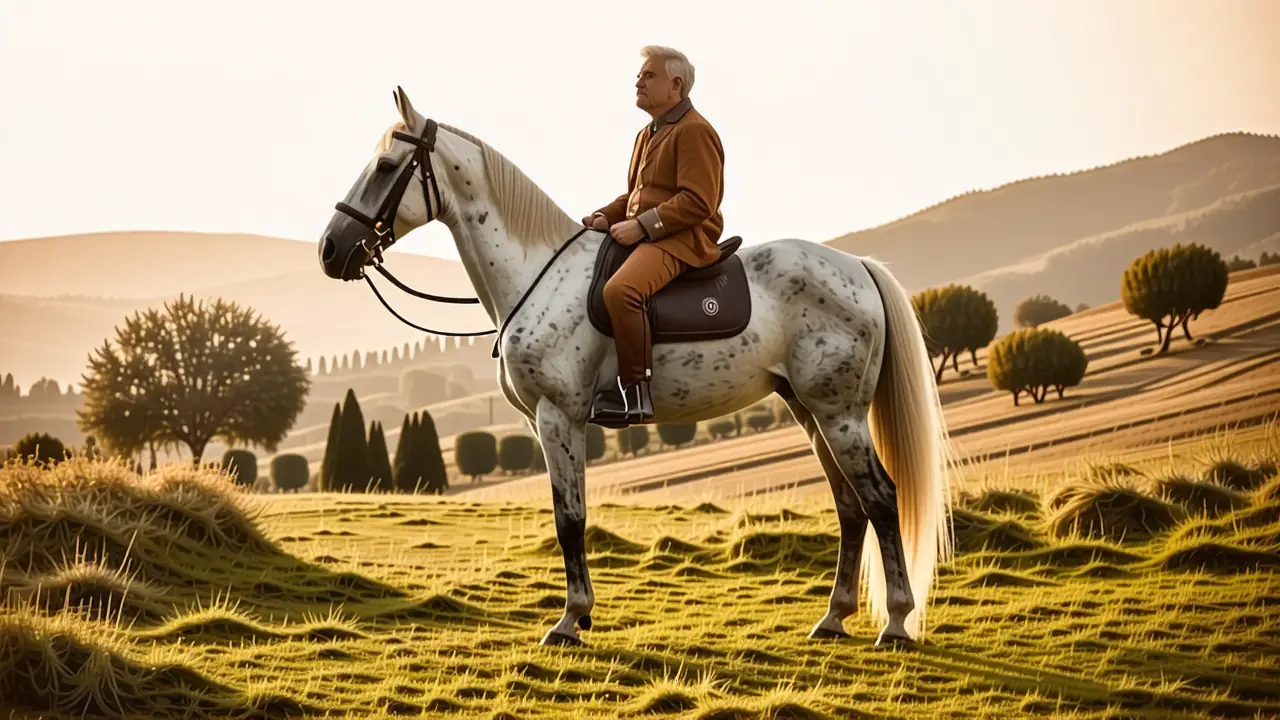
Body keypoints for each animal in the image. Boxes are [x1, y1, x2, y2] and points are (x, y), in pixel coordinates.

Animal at [317, 86, 955, 648]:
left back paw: (897, 623)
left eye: (384, 166)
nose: (330, 250)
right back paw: (833, 619)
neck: (537, 273)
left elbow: (569, 520)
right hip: (809, 410)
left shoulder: (558, 418)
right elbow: (569, 517)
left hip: (838, 413)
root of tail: (858, 267)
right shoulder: (550, 424)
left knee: (880, 499)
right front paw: (577, 616)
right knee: (849, 507)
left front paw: (570, 621)